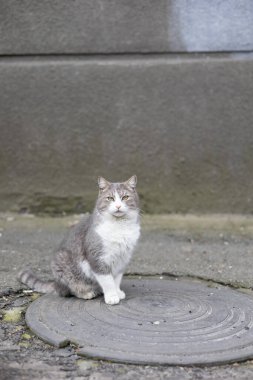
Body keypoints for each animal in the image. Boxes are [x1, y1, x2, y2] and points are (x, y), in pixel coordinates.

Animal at [18, 176, 140, 306]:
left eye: (125, 197)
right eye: (110, 198)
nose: (118, 206)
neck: (119, 227)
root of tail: (56, 284)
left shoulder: (122, 259)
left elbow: (116, 279)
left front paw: (117, 292)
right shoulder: (97, 258)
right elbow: (107, 280)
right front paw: (112, 296)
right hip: (62, 263)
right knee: (69, 290)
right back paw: (86, 293)